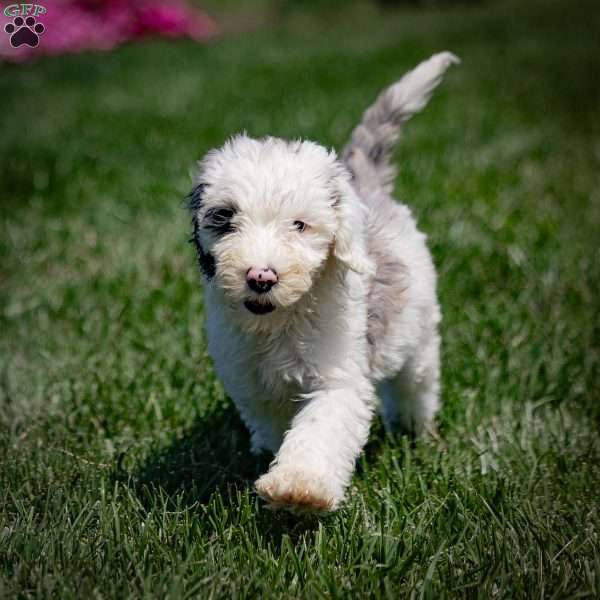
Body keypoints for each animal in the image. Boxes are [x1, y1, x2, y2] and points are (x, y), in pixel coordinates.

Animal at [188, 52, 460, 510]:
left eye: (299, 225)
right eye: (225, 219)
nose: (260, 276)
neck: (277, 324)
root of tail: (366, 188)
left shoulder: (338, 374)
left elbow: (319, 428)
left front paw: (299, 487)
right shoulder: (251, 381)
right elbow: (272, 423)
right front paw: (270, 456)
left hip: (418, 330)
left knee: (417, 382)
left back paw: (415, 429)